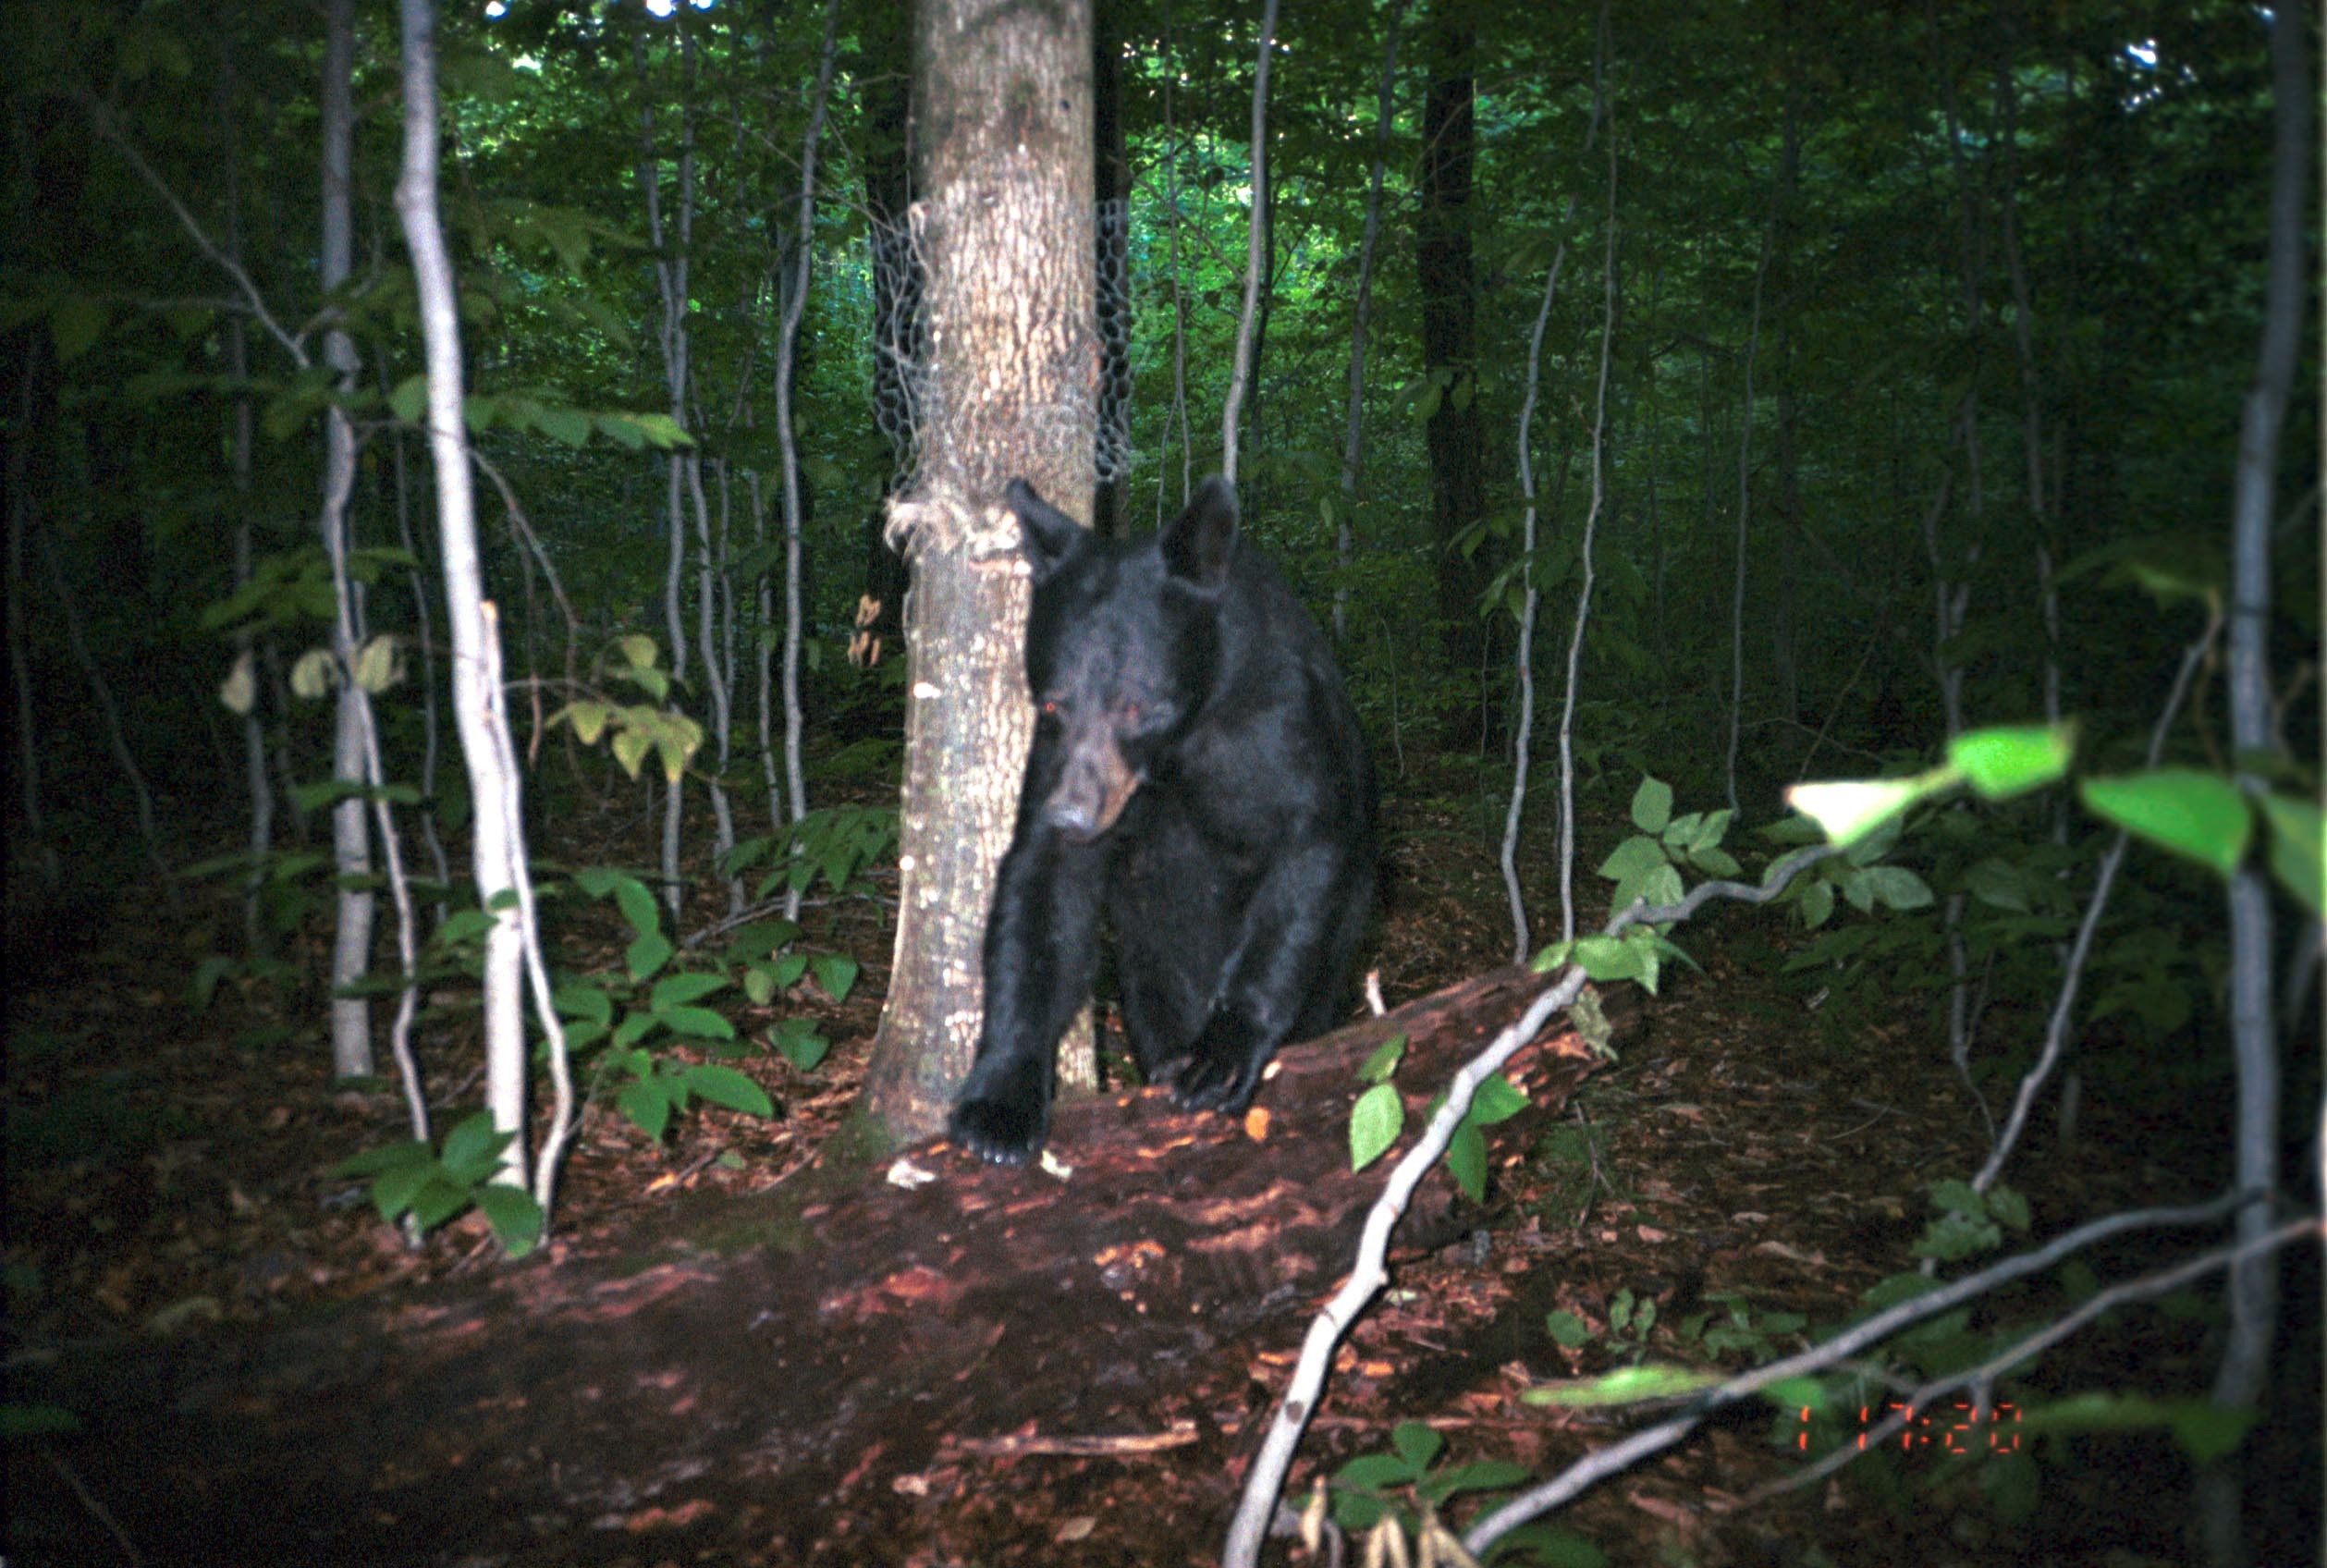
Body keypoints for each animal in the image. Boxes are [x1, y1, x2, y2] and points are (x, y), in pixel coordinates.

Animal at [949, 476, 1367, 1158]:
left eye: (1136, 705)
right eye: (1052, 702)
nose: (1071, 815)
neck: (1178, 746)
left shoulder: (1282, 726)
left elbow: (1304, 852)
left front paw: (1220, 1056)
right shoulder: (1056, 762)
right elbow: (1041, 893)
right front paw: (998, 1103)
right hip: (1146, 961)